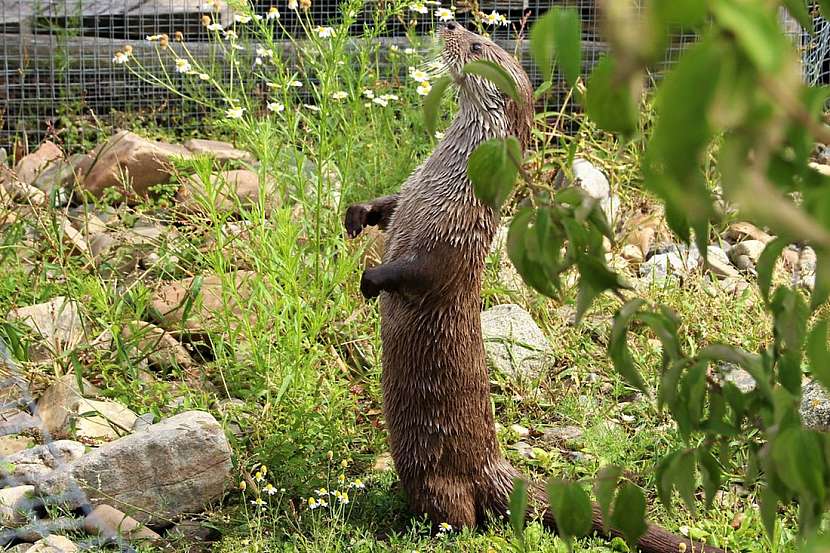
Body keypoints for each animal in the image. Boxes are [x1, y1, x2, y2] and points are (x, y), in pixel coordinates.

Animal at [344, 22, 720, 552]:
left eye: (476, 45)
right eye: (471, 30)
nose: (450, 23)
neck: (446, 181)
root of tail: (497, 470)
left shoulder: (454, 236)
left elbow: (423, 273)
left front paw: (372, 280)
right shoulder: (412, 194)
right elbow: (390, 204)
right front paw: (359, 214)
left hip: (440, 476)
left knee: (460, 516)